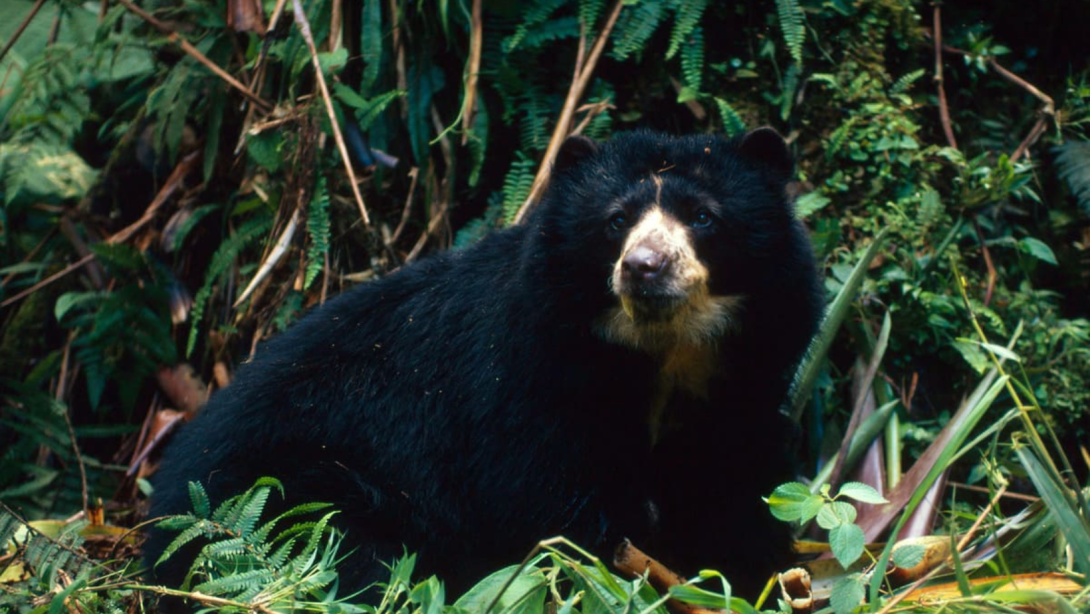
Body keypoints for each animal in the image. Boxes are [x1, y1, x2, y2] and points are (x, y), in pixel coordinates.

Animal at [147, 127, 824, 602]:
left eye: (704, 216)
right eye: (615, 222)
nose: (644, 268)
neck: (660, 353)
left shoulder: (742, 382)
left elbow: (734, 487)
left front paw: (761, 573)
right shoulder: (527, 387)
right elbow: (550, 515)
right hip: (280, 492)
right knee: (349, 555)